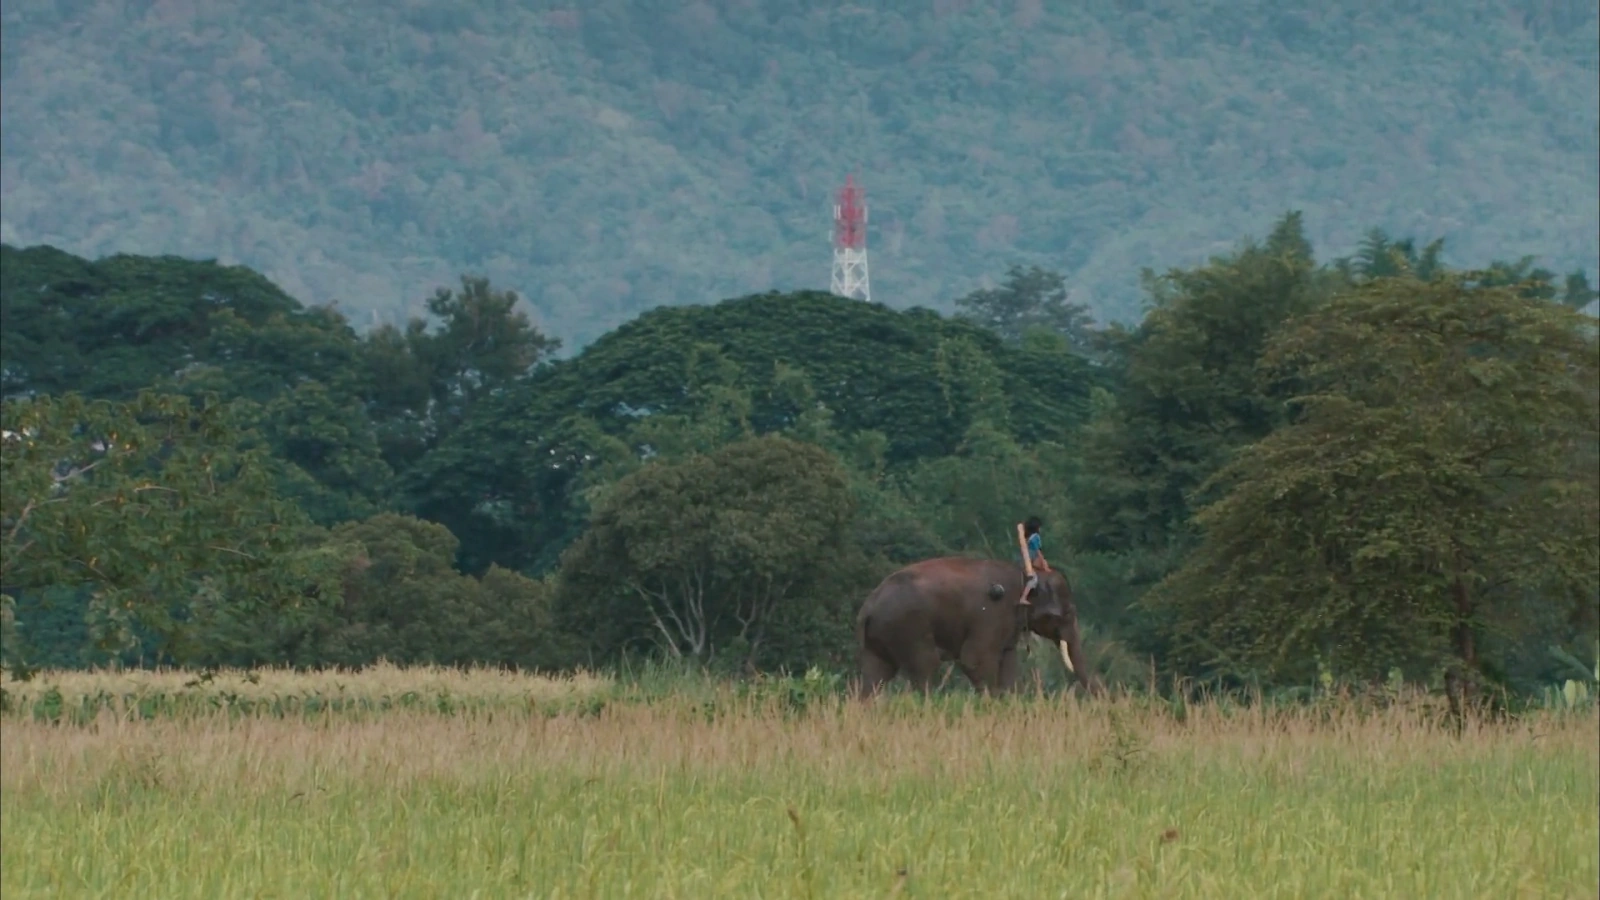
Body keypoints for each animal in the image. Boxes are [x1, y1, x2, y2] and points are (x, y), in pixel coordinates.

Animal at [854, 556, 1102, 698]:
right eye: (1068, 614)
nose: (1104, 703)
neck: (1026, 575)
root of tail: (868, 608)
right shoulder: (991, 615)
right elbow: (974, 660)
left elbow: (1008, 662)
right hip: (908, 628)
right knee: (925, 666)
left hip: (879, 637)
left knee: (876, 676)